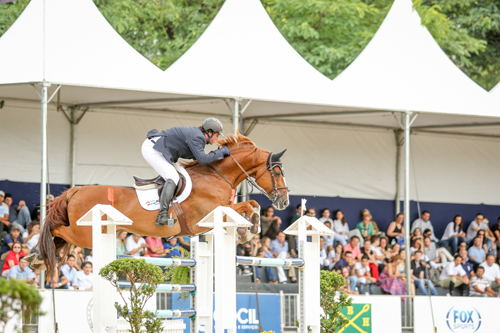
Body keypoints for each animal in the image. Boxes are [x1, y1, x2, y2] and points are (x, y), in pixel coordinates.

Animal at [33, 132, 290, 274]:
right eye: (277, 173)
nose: (285, 201)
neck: (216, 176)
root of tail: (76, 190)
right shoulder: (206, 217)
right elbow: (247, 206)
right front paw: (249, 231)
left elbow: (252, 204)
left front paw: (248, 230)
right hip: (84, 233)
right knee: (56, 230)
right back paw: (37, 256)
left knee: (60, 237)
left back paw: (37, 260)